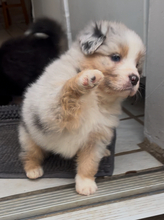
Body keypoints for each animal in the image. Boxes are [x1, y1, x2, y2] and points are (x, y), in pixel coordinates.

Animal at [19, 21, 145, 196]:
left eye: (137, 65)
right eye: (115, 57)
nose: (135, 79)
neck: (98, 97)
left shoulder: (96, 136)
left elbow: (89, 162)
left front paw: (85, 184)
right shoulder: (52, 113)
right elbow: (66, 92)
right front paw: (84, 79)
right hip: (29, 135)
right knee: (30, 152)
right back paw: (33, 169)